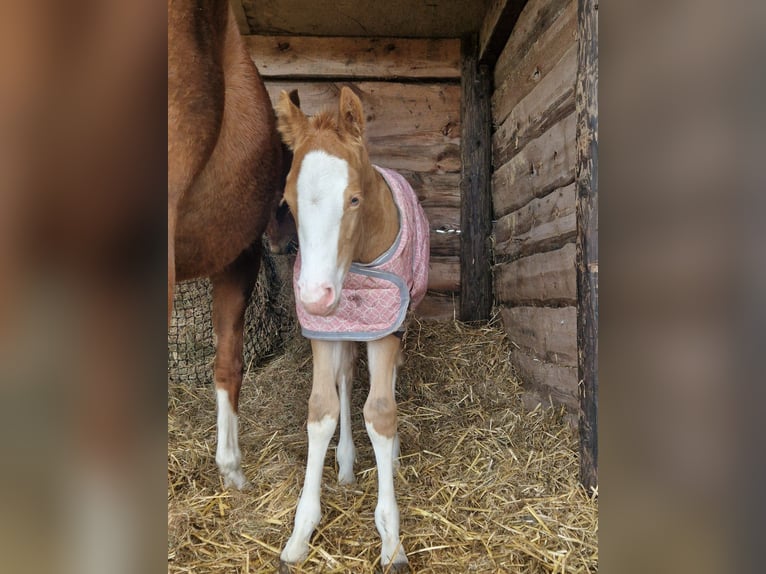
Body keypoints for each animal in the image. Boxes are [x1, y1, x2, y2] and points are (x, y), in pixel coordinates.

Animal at [275, 86, 430, 570]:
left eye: (355, 199)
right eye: (288, 203)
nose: (314, 297)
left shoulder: (385, 325)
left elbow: (380, 412)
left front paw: (392, 541)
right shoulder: (325, 332)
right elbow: (322, 409)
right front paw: (300, 534)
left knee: (389, 379)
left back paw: (391, 455)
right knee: (345, 378)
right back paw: (344, 463)